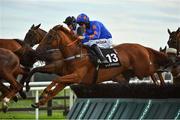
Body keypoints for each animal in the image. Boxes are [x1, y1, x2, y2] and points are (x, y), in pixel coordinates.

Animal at [31, 24, 173, 107]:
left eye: (50, 36)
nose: (37, 51)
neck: (76, 54)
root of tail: (142, 47)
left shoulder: (77, 76)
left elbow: (56, 79)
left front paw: (45, 93)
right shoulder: (69, 77)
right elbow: (57, 86)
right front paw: (40, 101)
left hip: (141, 70)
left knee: (156, 69)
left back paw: (163, 82)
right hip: (128, 75)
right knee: (153, 72)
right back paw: (160, 85)